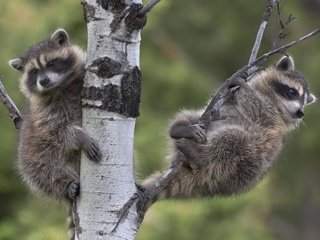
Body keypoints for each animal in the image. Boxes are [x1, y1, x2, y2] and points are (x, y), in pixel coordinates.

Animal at [144, 56, 316, 201]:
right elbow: (223, 100)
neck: (273, 100)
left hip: (244, 165)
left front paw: (244, 86)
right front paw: (240, 82)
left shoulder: (272, 119)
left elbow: (257, 107)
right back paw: (180, 129)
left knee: (233, 141)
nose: (300, 112)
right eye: (293, 91)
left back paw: (201, 155)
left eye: (304, 101)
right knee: (192, 117)